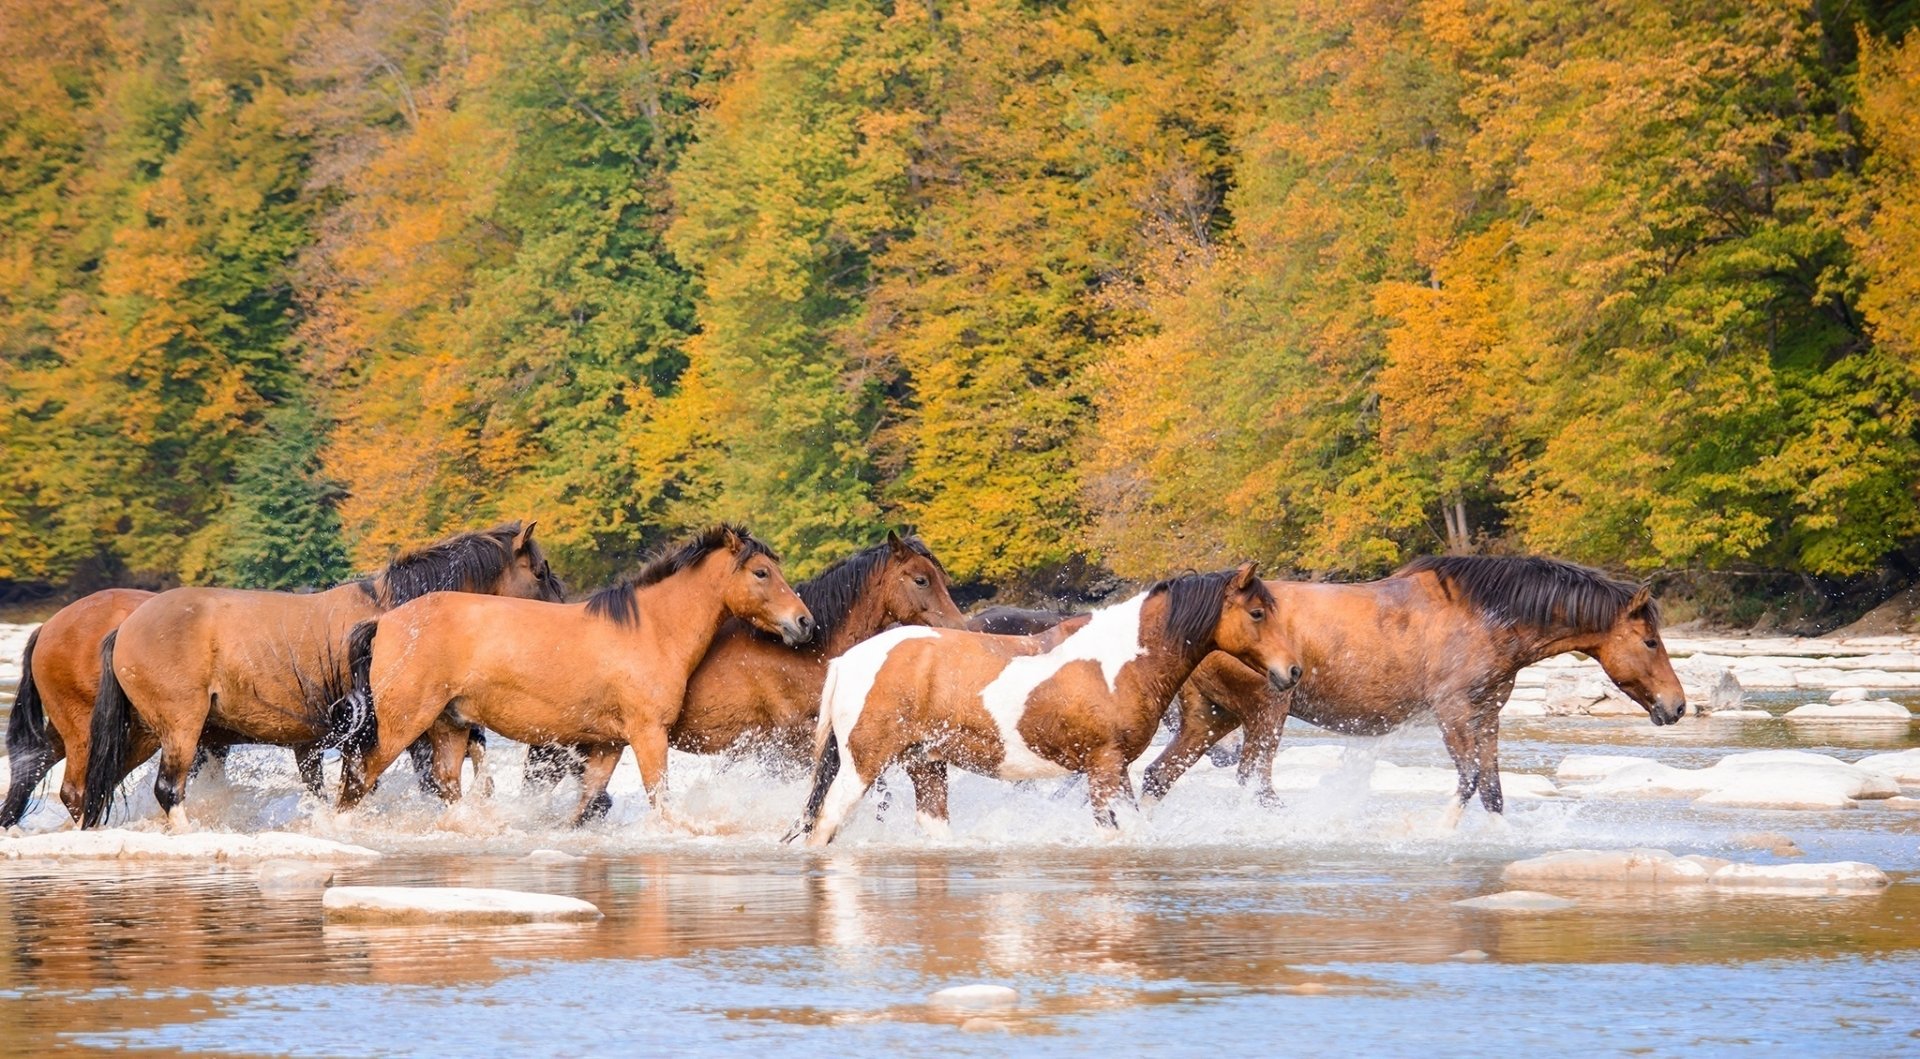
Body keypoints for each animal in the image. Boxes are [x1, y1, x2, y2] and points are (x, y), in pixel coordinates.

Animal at [79, 522, 564, 830]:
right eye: (540, 572)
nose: (562, 621)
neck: (399, 615)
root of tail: (126, 627)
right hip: (180, 728)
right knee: (166, 789)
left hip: (144, 731)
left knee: (95, 786)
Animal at [334, 524, 814, 825]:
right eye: (761, 572)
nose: (804, 622)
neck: (649, 630)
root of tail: (385, 623)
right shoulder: (648, 735)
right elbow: (658, 796)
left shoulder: (608, 744)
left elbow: (586, 805)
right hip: (400, 726)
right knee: (359, 776)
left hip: (449, 726)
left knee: (446, 784)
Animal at [785, 563, 1301, 846]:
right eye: (1257, 613)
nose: (1292, 671)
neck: (1117, 661)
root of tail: (848, 660)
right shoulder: (1105, 767)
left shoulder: (1112, 770)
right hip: (863, 766)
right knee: (825, 824)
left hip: (926, 765)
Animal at [1138, 554, 1688, 821]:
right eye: (1650, 640)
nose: (1677, 705)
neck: (1488, 619)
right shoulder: (1452, 710)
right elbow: (1467, 781)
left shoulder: (1487, 714)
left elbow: (1492, 791)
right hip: (1265, 713)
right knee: (1255, 784)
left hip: (1211, 718)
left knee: (1158, 777)